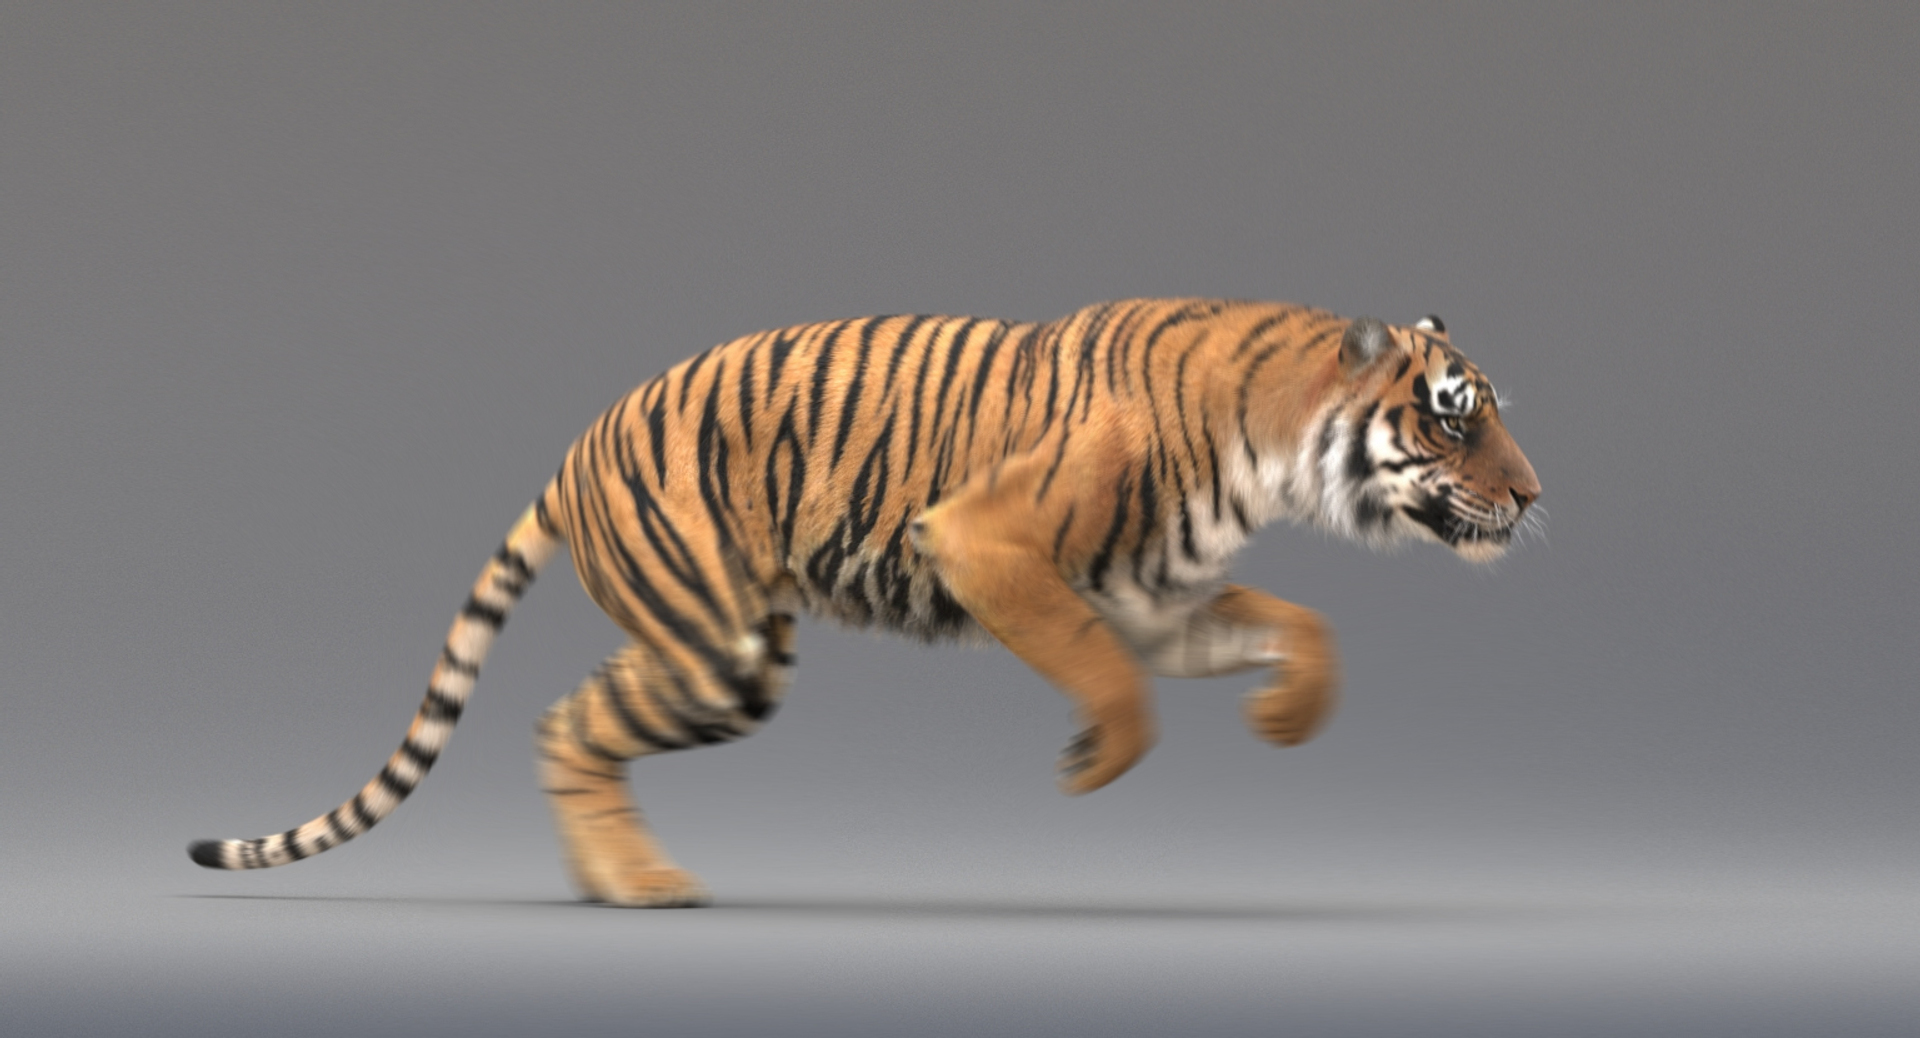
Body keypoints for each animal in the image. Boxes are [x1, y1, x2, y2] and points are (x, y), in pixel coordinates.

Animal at [189, 298, 1541, 906]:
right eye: (1453, 415)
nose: (1536, 495)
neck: (1271, 450)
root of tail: (569, 456)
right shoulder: (988, 541)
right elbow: (1113, 685)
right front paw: (1089, 765)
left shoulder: (1156, 595)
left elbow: (1301, 628)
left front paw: (1285, 720)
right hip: (717, 646)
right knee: (565, 725)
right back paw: (643, 886)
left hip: (725, 653)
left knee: (564, 722)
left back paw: (609, 881)